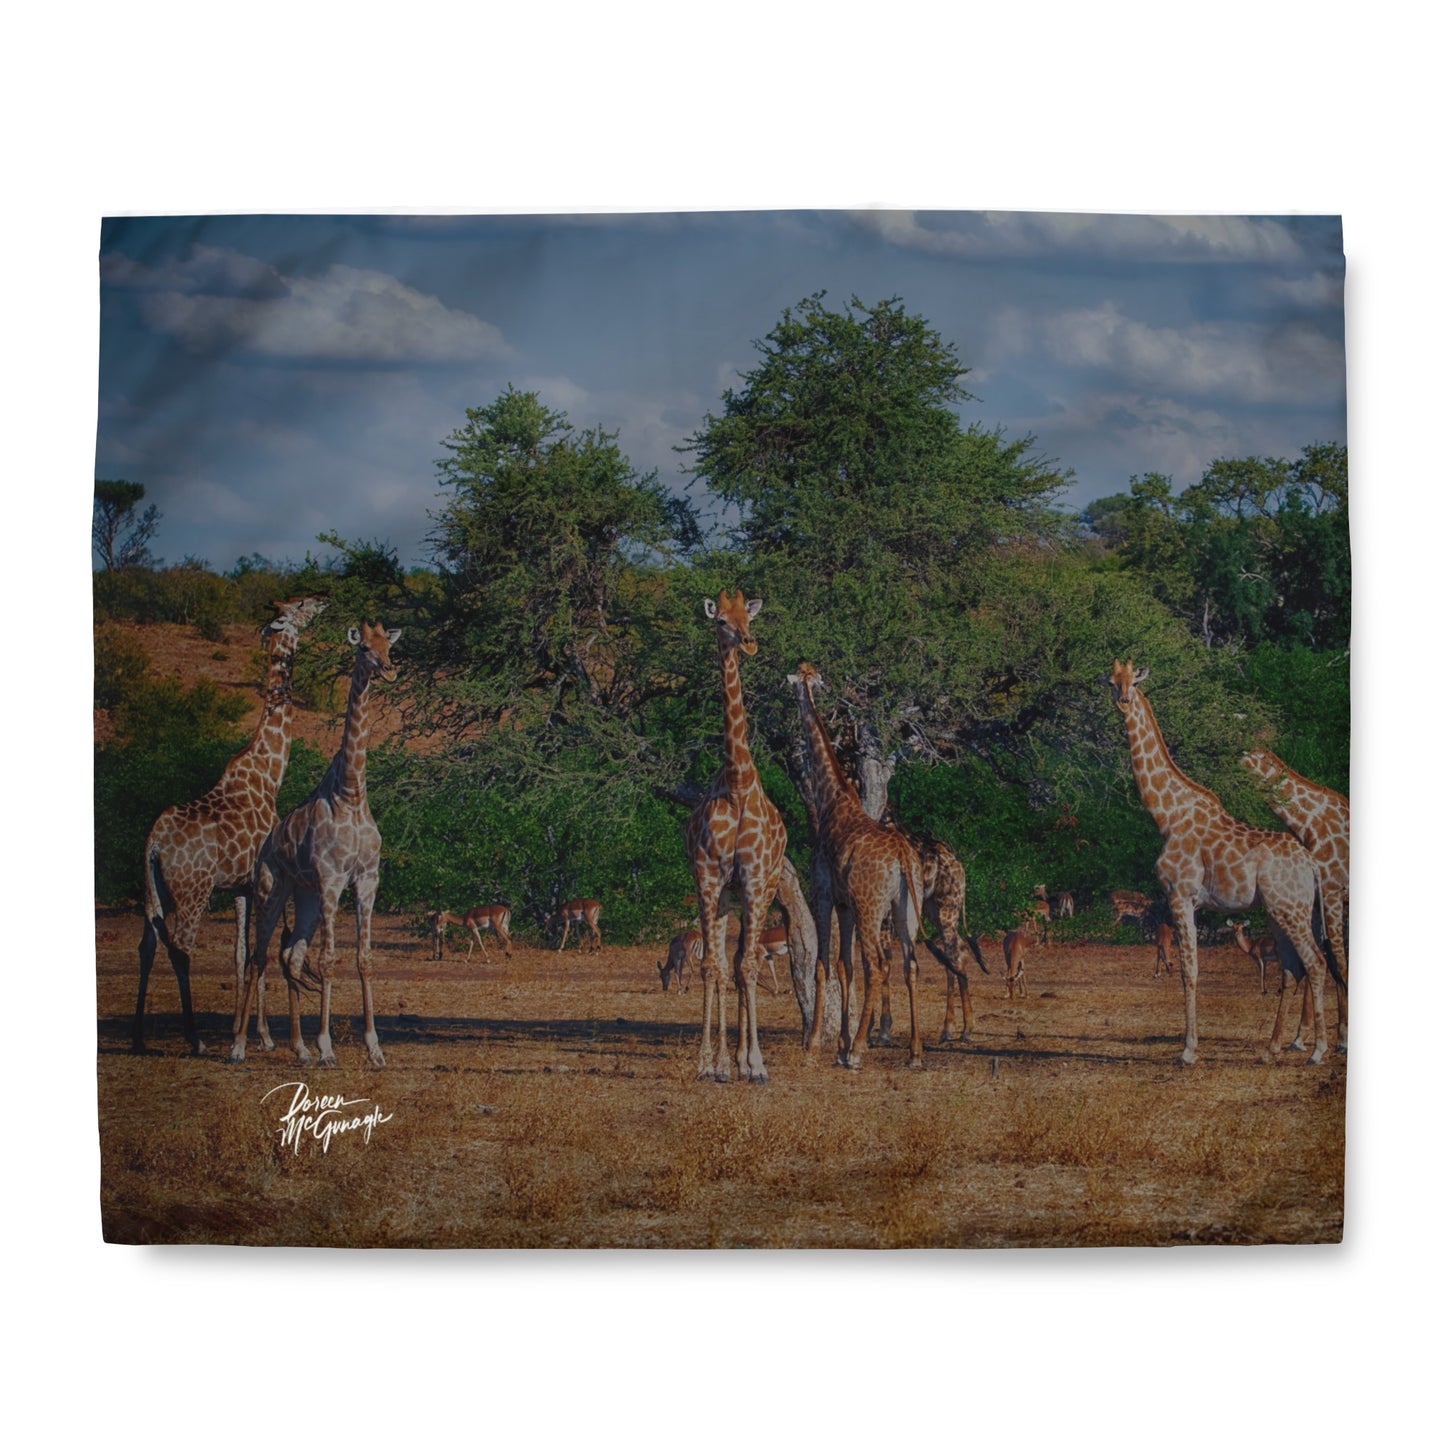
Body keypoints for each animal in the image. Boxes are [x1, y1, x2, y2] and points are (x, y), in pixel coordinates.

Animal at [134, 596, 326, 1055]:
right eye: (300, 606)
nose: (324, 599)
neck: (268, 774)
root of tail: (153, 844)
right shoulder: (267, 879)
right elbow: (264, 948)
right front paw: (266, 1037)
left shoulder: (240, 885)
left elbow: (242, 954)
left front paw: (246, 1032)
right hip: (192, 891)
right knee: (181, 949)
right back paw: (194, 1038)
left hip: (153, 889)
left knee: (147, 945)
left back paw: (137, 1037)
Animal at [229, 621, 401, 1067]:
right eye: (364, 649)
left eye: (389, 646)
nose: (390, 669)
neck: (351, 794)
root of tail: (266, 845)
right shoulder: (332, 880)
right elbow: (327, 961)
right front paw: (327, 1047)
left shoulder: (367, 880)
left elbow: (364, 959)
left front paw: (374, 1047)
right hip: (272, 890)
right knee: (258, 957)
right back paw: (239, 1047)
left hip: (304, 896)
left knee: (290, 956)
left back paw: (299, 1048)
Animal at [790, 663, 924, 1068]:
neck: (830, 798)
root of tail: (903, 857)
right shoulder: (846, 904)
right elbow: (844, 967)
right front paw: (840, 1042)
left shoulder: (823, 894)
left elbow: (822, 965)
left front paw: (817, 1044)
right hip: (904, 908)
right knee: (911, 963)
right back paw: (914, 1051)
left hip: (872, 906)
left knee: (879, 964)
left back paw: (860, 1051)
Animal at [1104, 659, 1333, 1064]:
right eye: (1112, 682)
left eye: (1134, 680)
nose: (1125, 700)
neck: (1166, 815)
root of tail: (1311, 864)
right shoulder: (1187, 901)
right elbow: (1190, 969)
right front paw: (1191, 1046)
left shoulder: (1179, 895)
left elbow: (1189, 971)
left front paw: (1188, 1050)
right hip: (1280, 910)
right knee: (1293, 967)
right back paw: (1270, 1049)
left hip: (1291, 909)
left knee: (1316, 963)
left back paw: (1317, 1050)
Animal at [1242, 748, 1349, 1051]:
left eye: (1241, 759)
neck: (1310, 826)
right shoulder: (1318, 901)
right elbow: (1324, 960)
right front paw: (1301, 1037)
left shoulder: (1333, 894)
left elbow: (1339, 962)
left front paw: (1342, 1038)